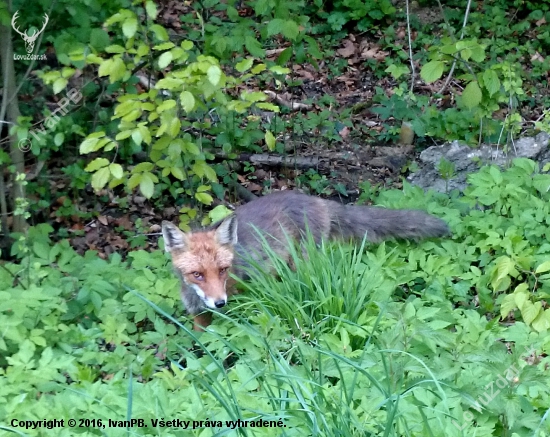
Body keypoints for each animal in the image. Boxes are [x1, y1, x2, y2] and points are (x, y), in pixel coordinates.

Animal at [162, 189, 450, 328]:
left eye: (223, 270)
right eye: (197, 274)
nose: (220, 303)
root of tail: (317, 200)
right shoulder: (198, 316)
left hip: (301, 265)